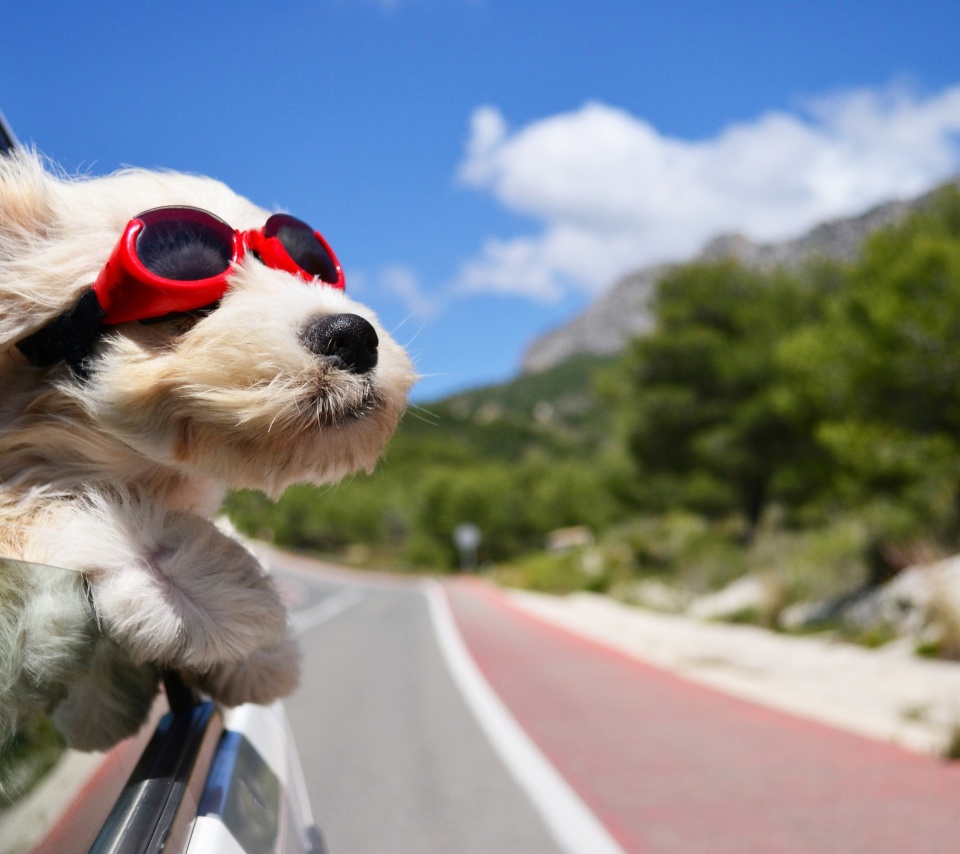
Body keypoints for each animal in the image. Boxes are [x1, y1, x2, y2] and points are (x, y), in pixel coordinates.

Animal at [0, 150, 416, 752]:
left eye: (310, 265)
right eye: (186, 294)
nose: (353, 335)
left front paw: (257, 654)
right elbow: (44, 507)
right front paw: (210, 593)